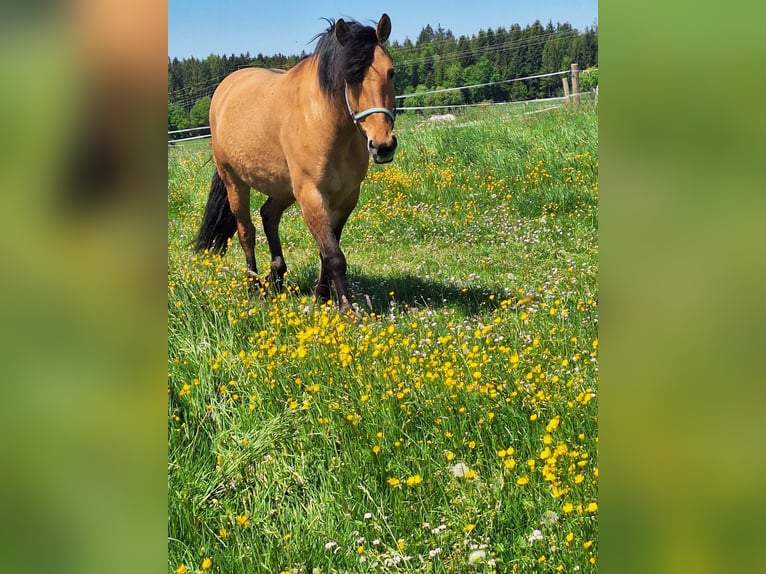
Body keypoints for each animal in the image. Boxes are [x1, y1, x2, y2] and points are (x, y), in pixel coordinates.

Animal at [193, 14, 397, 315]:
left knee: (268, 215)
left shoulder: (346, 197)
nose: (382, 145)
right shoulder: (311, 194)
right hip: (235, 183)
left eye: (390, 72)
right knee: (246, 232)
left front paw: (321, 295)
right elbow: (333, 255)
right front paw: (347, 310)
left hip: (284, 188)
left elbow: (327, 251)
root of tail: (226, 87)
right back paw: (254, 286)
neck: (325, 122)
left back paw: (277, 275)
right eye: (348, 77)